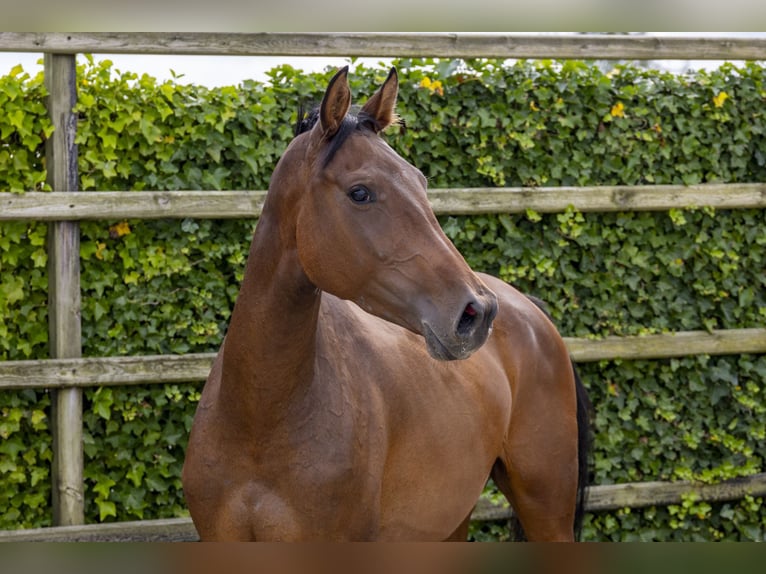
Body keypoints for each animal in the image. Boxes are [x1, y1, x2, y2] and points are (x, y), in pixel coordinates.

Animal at [183, 67, 592, 544]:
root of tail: (529, 309)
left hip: (546, 512)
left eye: (421, 182)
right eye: (360, 192)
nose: (477, 313)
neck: (258, 421)